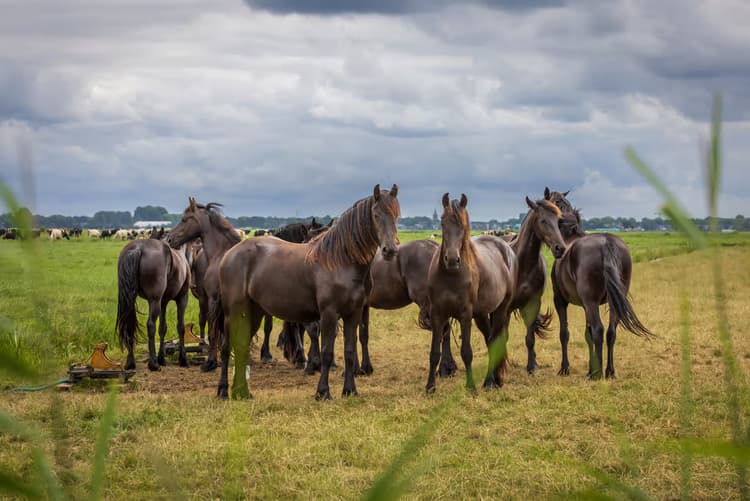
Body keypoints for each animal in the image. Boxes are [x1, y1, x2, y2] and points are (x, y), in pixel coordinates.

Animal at [115, 239, 192, 370]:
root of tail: (138, 248)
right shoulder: (182, 298)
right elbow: (181, 327)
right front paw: (183, 359)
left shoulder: (163, 302)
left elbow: (162, 328)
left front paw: (162, 358)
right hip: (155, 301)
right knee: (150, 325)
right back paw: (153, 364)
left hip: (132, 300)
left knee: (129, 325)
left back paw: (131, 363)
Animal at [165, 198, 242, 372]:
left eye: (184, 219)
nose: (170, 239)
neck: (220, 254)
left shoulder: (213, 299)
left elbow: (213, 332)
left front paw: (210, 362)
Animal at [218, 184, 400, 400]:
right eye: (376, 214)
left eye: (396, 214)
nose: (390, 250)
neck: (341, 262)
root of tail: (229, 254)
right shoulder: (329, 313)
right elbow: (327, 352)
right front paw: (323, 392)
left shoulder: (353, 313)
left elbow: (349, 350)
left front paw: (350, 390)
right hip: (233, 312)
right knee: (226, 347)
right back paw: (223, 390)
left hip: (254, 312)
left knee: (241, 345)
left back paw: (242, 393)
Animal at [551, 204, 653, 379]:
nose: (557, 249)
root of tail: (606, 243)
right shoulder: (586, 306)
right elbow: (588, 335)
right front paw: (589, 369)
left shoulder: (561, 301)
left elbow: (565, 333)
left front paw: (565, 369)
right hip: (613, 302)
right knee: (611, 332)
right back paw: (609, 371)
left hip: (591, 303)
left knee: (599, 329)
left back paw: (597, 374)